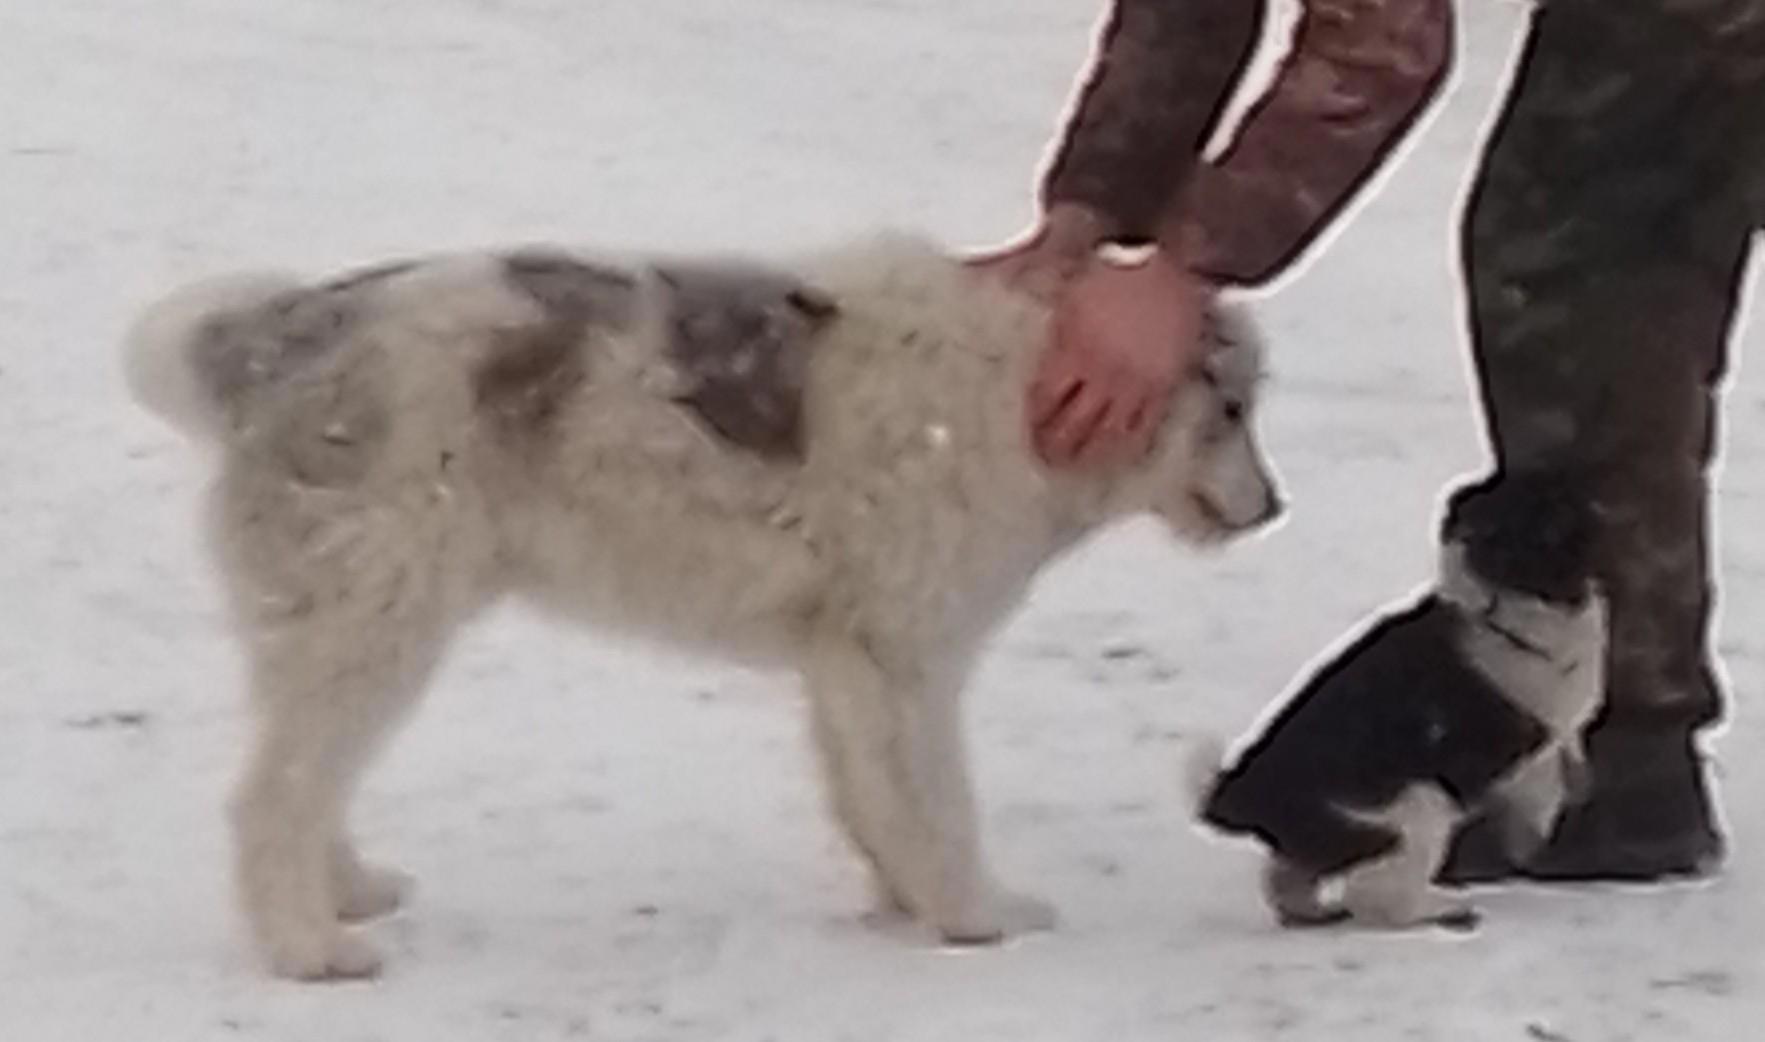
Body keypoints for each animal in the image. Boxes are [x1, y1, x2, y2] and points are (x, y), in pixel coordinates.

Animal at [125, 232, 1282, 979]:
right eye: (1230, 411)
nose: (1273, 508)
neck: (1021, 389)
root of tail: (275, 333)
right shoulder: (905, 658)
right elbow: (937, 804)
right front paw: (973, 916)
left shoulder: (847, 664)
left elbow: (872, 801)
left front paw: (906, 906)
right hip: (375, 620)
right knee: (273, 794)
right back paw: (310, 949)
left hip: (347, 625)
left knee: (303, 776)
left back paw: (347, 891)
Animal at [1192, 471, 1604, 930]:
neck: (1504, 613)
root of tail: (1240, 794)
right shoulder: (1531, 745)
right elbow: (1545, 791)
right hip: (1418, 805)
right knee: (1377, 896)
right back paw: (1446, 907)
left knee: (1285, 882)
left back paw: (1317, 911)